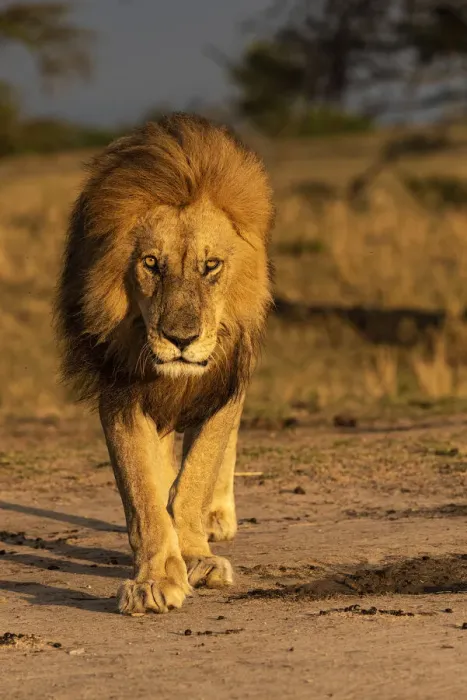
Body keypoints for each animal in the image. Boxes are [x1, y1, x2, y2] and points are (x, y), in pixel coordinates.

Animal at [54, 113, 274, 615]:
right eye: (152, 263)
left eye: (211, 266)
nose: (181, 339)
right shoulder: (120, 391)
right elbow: (143, 491)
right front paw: (156, 577)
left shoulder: (224, 383)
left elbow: (197, 473)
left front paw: (196, 554)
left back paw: (217, 516)